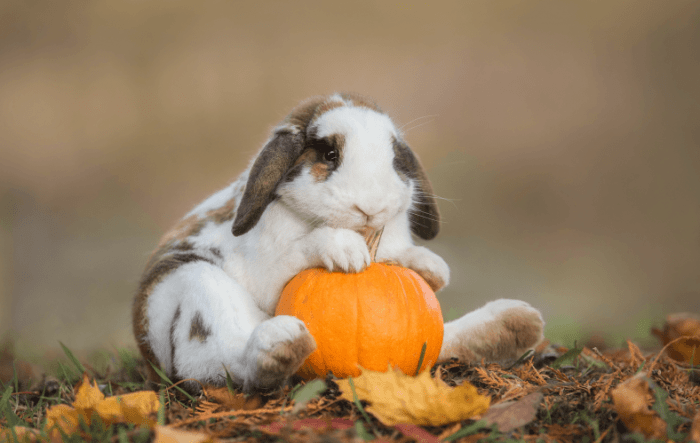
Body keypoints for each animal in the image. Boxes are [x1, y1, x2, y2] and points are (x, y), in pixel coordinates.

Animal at [133, 93, 548, 392]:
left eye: (395, 159)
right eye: (330, 154)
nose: (371, 206)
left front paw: (431, 266)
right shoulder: (264, 271)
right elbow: (296, 253)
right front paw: (346, 252)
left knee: (440, 342)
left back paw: (510, 326)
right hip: (195, 283)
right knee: (223, 363)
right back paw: (279, 346)